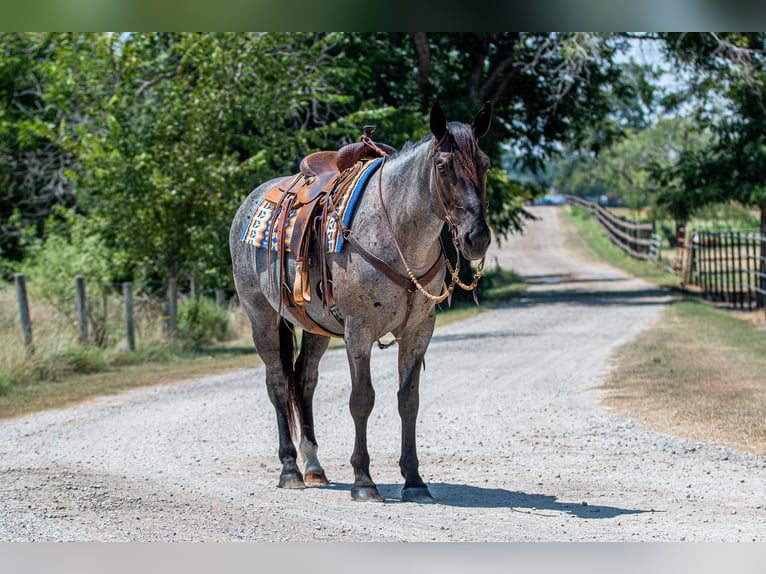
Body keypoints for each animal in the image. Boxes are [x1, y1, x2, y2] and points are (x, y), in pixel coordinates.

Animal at [230, 103, 492, 504]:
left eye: (486, 163)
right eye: (443, 165)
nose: (477, 238)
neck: (396, 231)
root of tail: (250, 203)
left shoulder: (419, 332)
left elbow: (408, 400)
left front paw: (414, 480)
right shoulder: (359, 332)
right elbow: (362, 400)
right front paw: (363, 481)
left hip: (315, 326)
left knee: (304, 380)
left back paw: (314, 466)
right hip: (261, 316)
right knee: (277, 382)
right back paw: (290, 469)